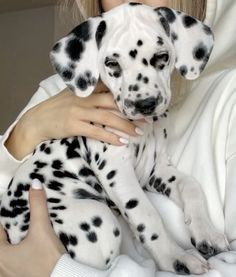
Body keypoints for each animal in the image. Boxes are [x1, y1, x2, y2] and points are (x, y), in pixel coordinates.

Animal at [0, 2, 229, 274]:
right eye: (112, 63)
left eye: (162, 57)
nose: (145, 104)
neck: (145, 128)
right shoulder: (118, 172)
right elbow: (148, 217)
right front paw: (176, 257)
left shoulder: (156, 170)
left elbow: (191, 185)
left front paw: (206, 232)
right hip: (97, 220)